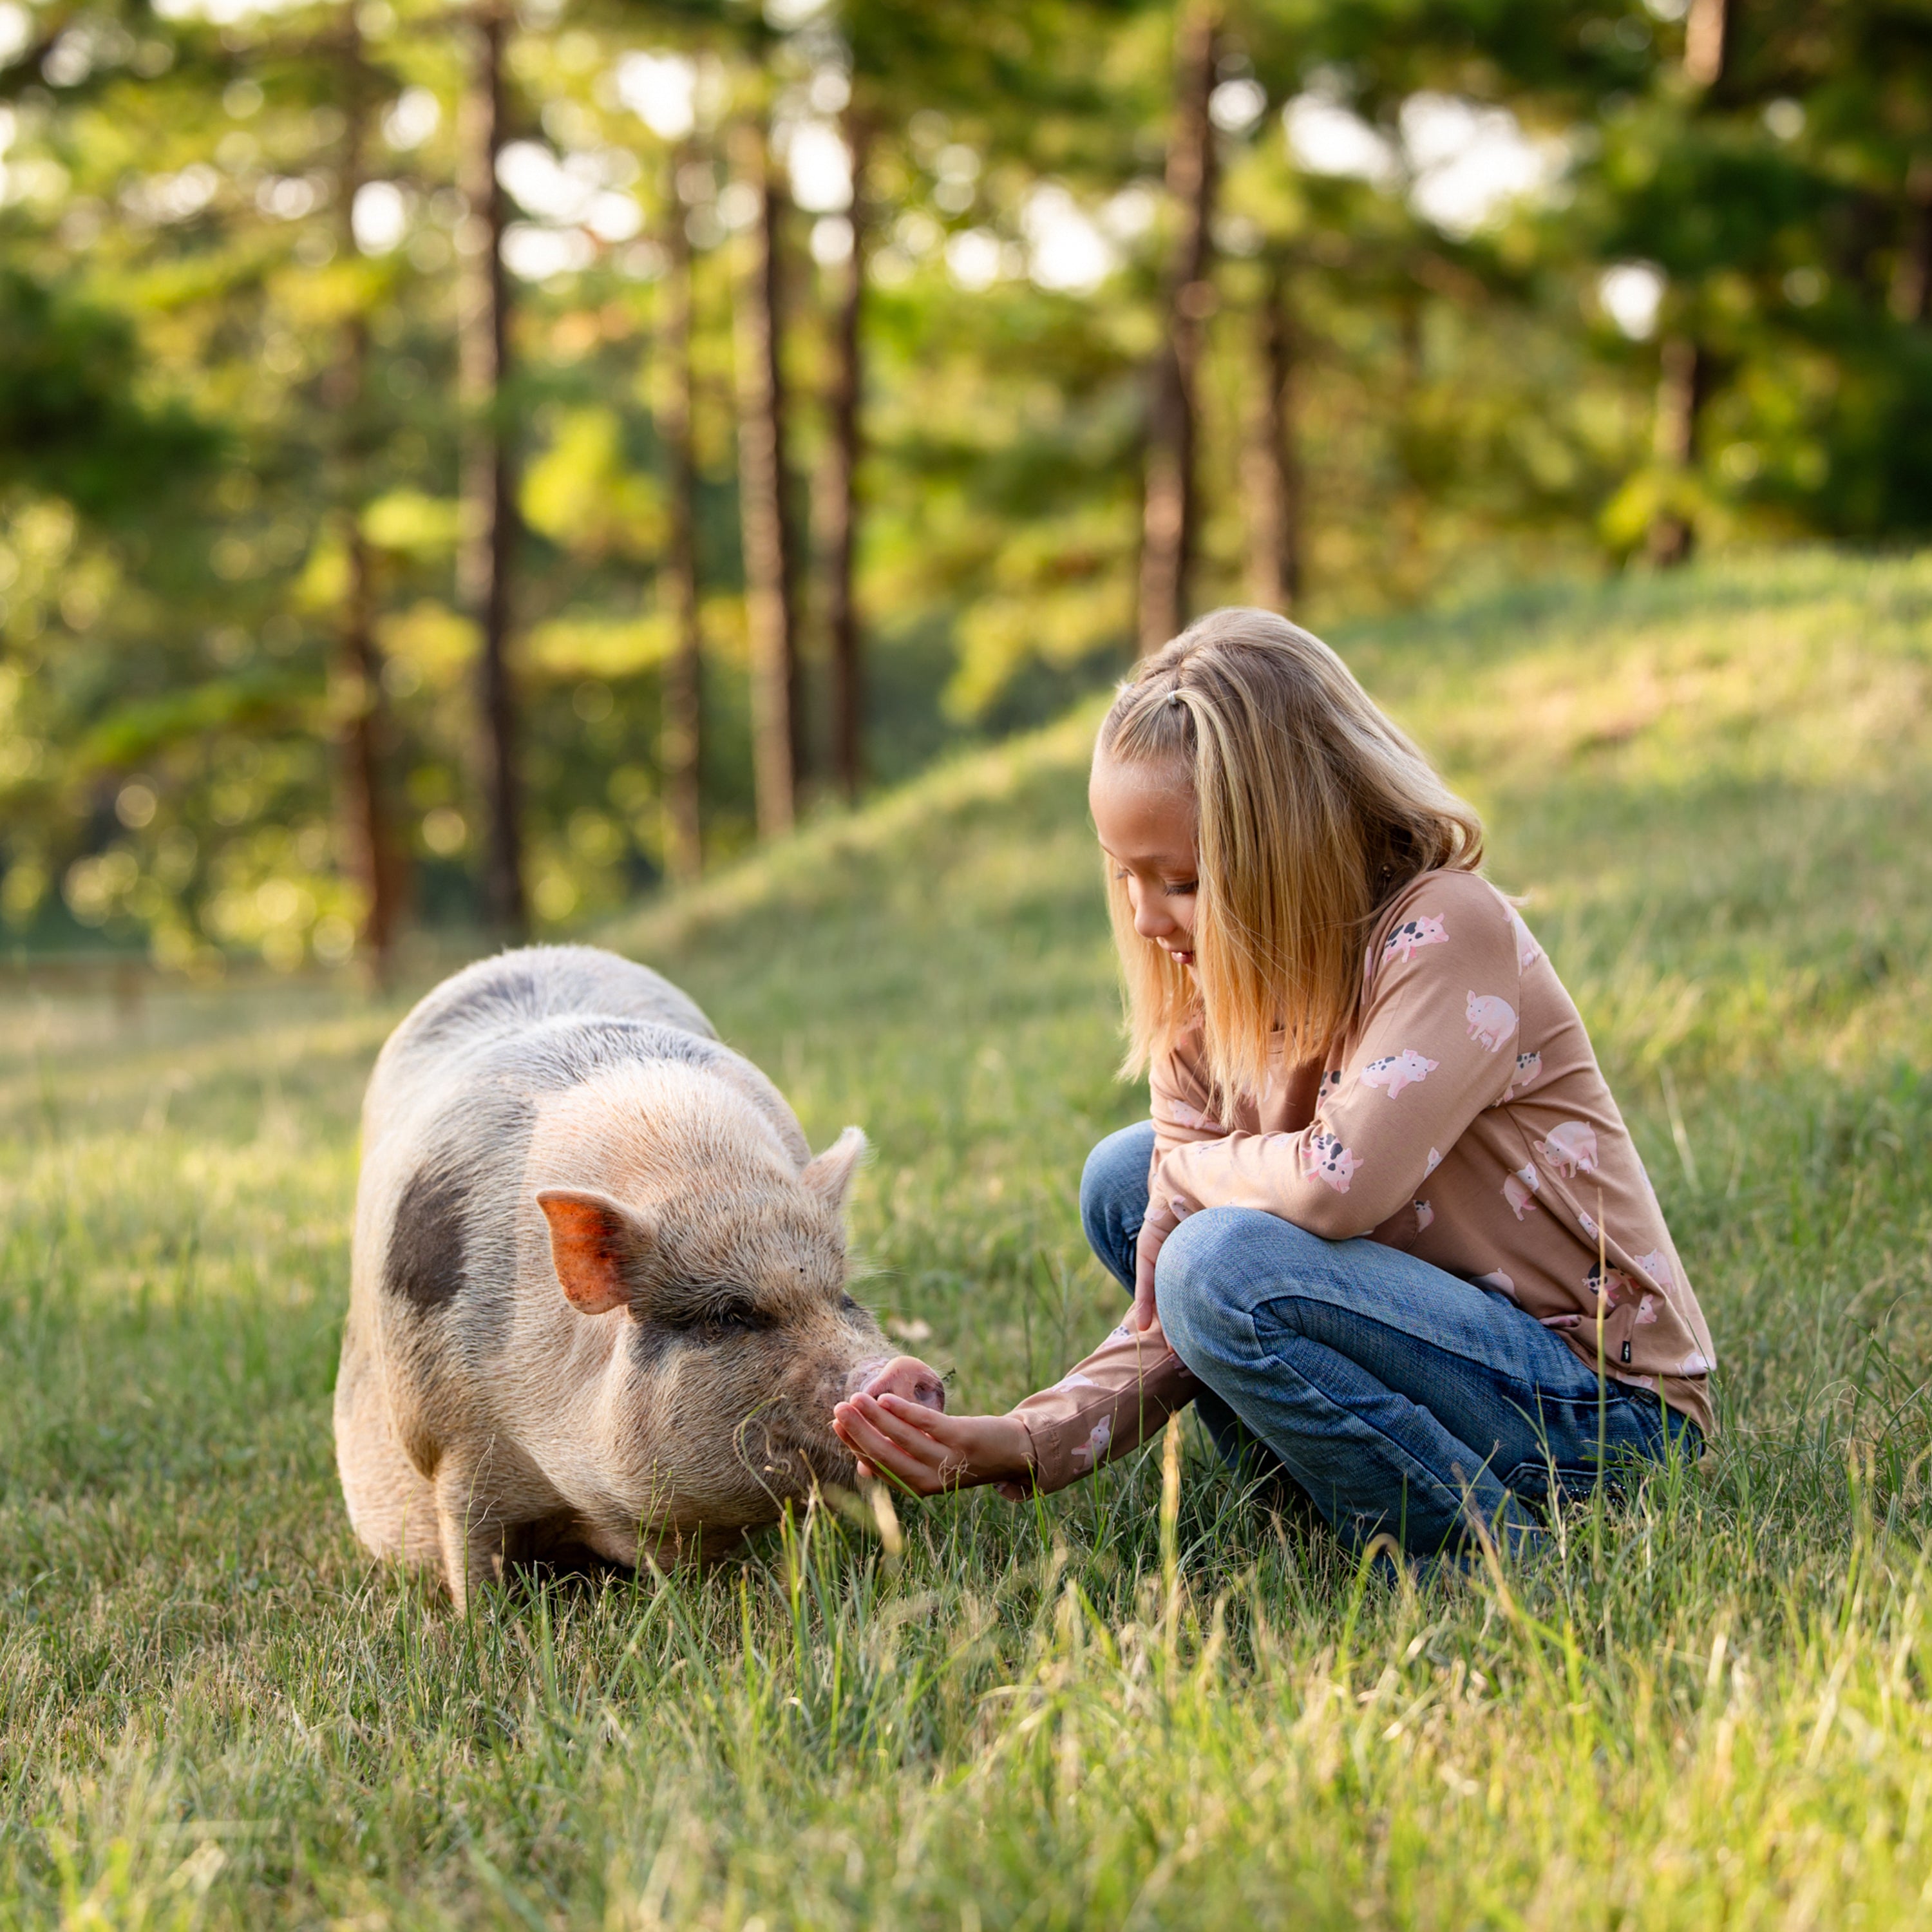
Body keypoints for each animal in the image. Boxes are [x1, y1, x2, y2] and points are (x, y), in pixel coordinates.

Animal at [333, 945, 942, 1609]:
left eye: (841, 1296)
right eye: (730, 1314)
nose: (903, 1372)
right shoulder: (449, 1440)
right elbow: (472, 1547)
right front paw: (479, 1621)